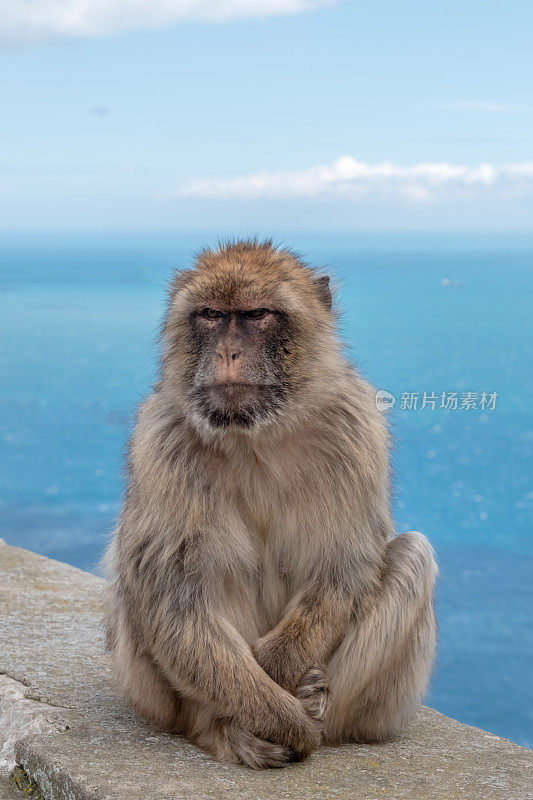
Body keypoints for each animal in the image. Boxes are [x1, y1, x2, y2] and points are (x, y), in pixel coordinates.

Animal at [105, 242, 436, 768]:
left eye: (256, 315)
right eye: (211, 316)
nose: (228, 352)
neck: (256, 435)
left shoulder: (355, 427)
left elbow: (340, 569)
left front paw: (281, 679)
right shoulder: (161, 439)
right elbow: (174, 600)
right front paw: (281, 718)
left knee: (412, 557)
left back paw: (313, 700)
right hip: (158, 699)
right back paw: (230, 728)